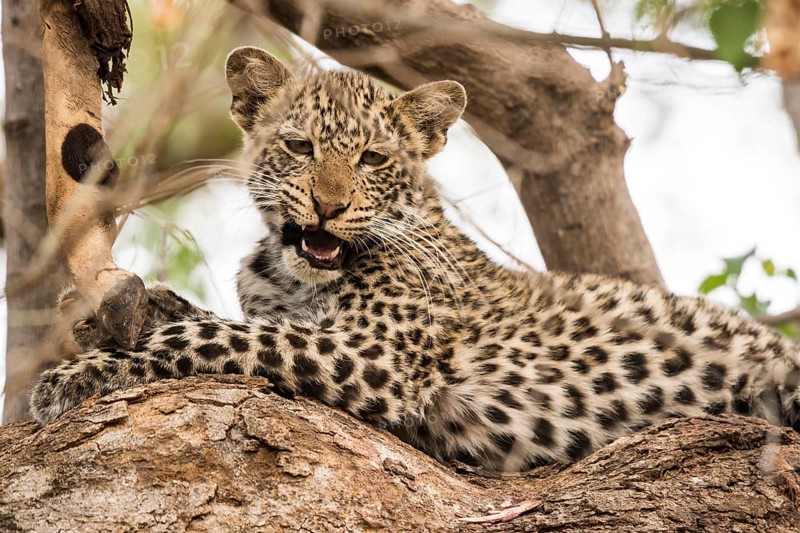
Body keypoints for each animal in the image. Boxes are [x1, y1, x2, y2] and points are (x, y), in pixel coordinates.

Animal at [30, 46, 800, 472]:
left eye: (373, 159)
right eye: (300, 147)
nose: (329, 206)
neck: (292, 270)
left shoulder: (375, 353)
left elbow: (217, 336)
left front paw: (76, 375)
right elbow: (206, 316)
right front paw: (112, 312)